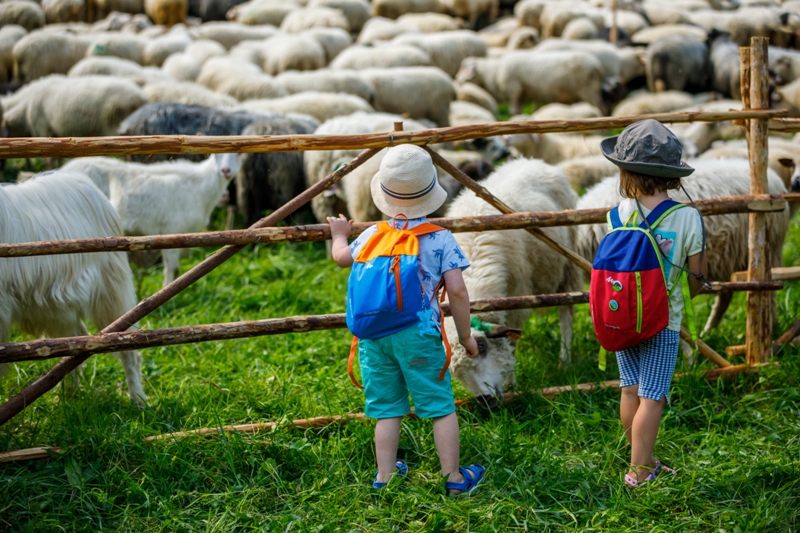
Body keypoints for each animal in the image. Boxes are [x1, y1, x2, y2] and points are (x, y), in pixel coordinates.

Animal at [0, 170, 145, 404]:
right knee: (74, 342)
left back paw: (138, 400)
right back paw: (69, 398)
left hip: (112, 291)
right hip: (55, 308)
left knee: (128, 347)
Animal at [62, 154, 242, 286]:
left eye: (238, 154)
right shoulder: (173, 230)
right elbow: (173, 268)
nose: (226, 171)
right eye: (216, 155)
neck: (198, 187)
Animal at [444, 158, 580, 404]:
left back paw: (564, 360)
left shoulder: (516, 299)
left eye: (481, 345)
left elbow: (512, 343)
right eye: (454, 372)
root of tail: (533, 161)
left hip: (569, 265)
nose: (484, 402)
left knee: (567, 314)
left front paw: (511, 384)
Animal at [580, 157, 792, 336]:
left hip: (767, 251)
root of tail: (774, 181)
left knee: (767, 294)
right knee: (727, 293)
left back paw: (770, 328)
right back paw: (709, 329)